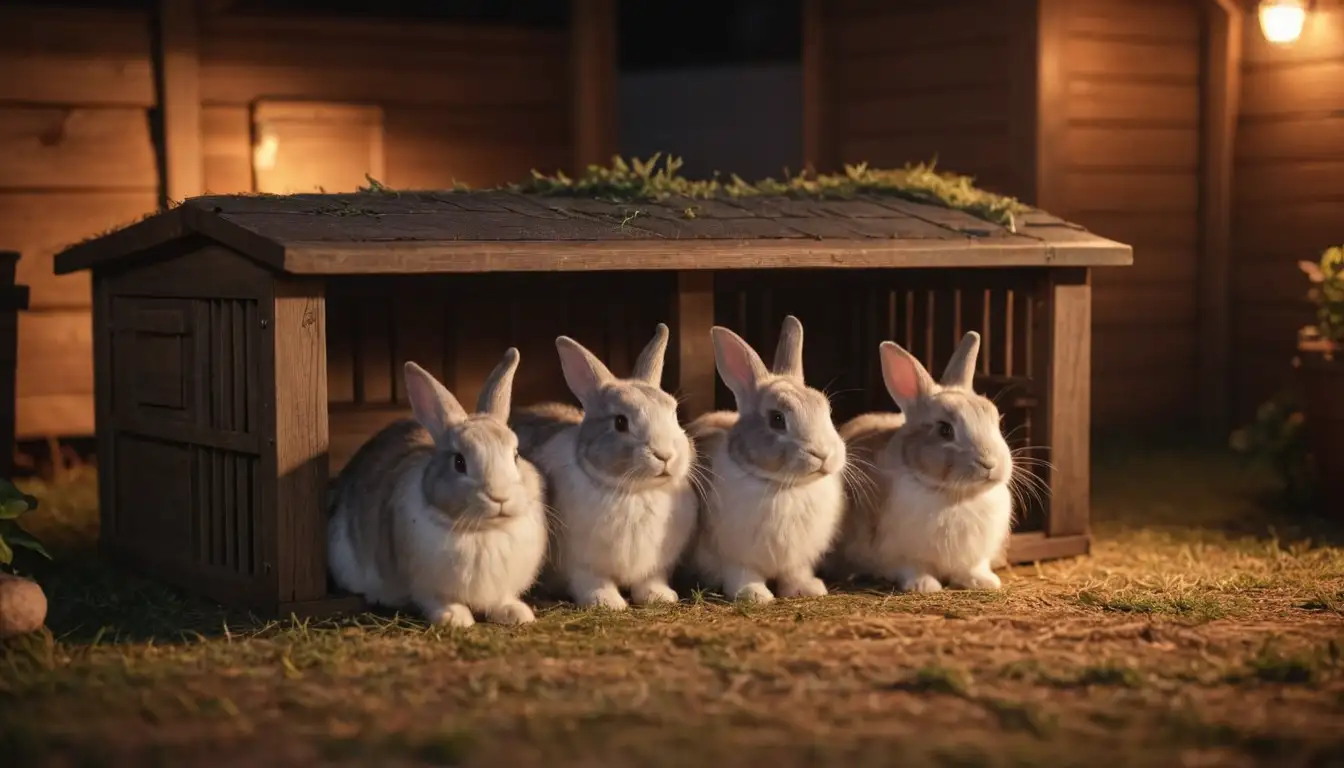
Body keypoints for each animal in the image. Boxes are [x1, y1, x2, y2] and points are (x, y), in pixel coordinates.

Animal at [327, 348, 548, 627]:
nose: (500, 497)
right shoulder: (427, 587)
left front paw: (517, 614)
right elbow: (435, 601)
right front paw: (455, 618)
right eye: (459, 462)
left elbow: (501, 599)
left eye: (516, 455)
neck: (482, 531)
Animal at [510, 324, 698, 610]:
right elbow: (592, 582)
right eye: (620, 422)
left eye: (674, 413)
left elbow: (650, 580)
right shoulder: (581, 565)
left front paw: (660, 596)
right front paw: (606, 602)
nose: (665, 454)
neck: (635, 491)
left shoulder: (655, 566)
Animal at [688, 315, 848, 604]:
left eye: (825, 409)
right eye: (777, 419)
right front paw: (754, 594)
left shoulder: (797, 559)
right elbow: (742, 573)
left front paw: (806, 589)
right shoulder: (734, 555)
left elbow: (795, 572)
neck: (783, 485)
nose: (823, 454)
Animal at [833, 331, 1014, 593]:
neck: (955, 495)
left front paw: (983, 582)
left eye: (996, 420)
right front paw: (924, 585)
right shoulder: (899, 554)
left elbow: (972, 568)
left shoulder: (974, 556)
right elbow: (911, 568)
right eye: (945, 430)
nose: (990, 464)